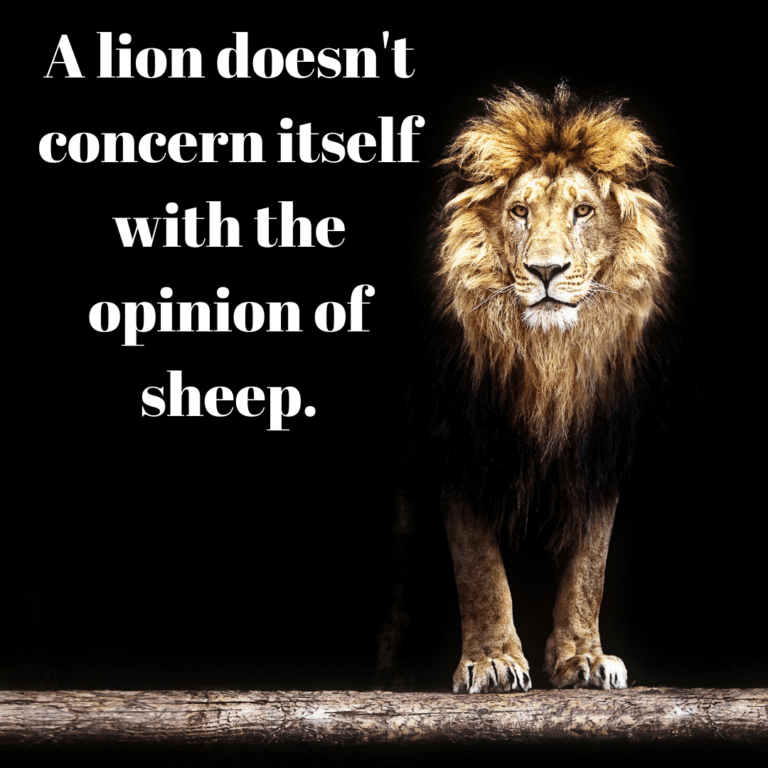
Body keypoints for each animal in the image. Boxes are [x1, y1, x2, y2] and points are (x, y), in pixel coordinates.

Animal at [378, 83, 676, 693]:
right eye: (519, 212)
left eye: (583, 211)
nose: (545, 270)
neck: (548, 360)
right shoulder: (461, 443)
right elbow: (479, 569)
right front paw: (492, 660)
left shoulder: (598, 449)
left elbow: (590, 567)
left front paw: (584, 658)